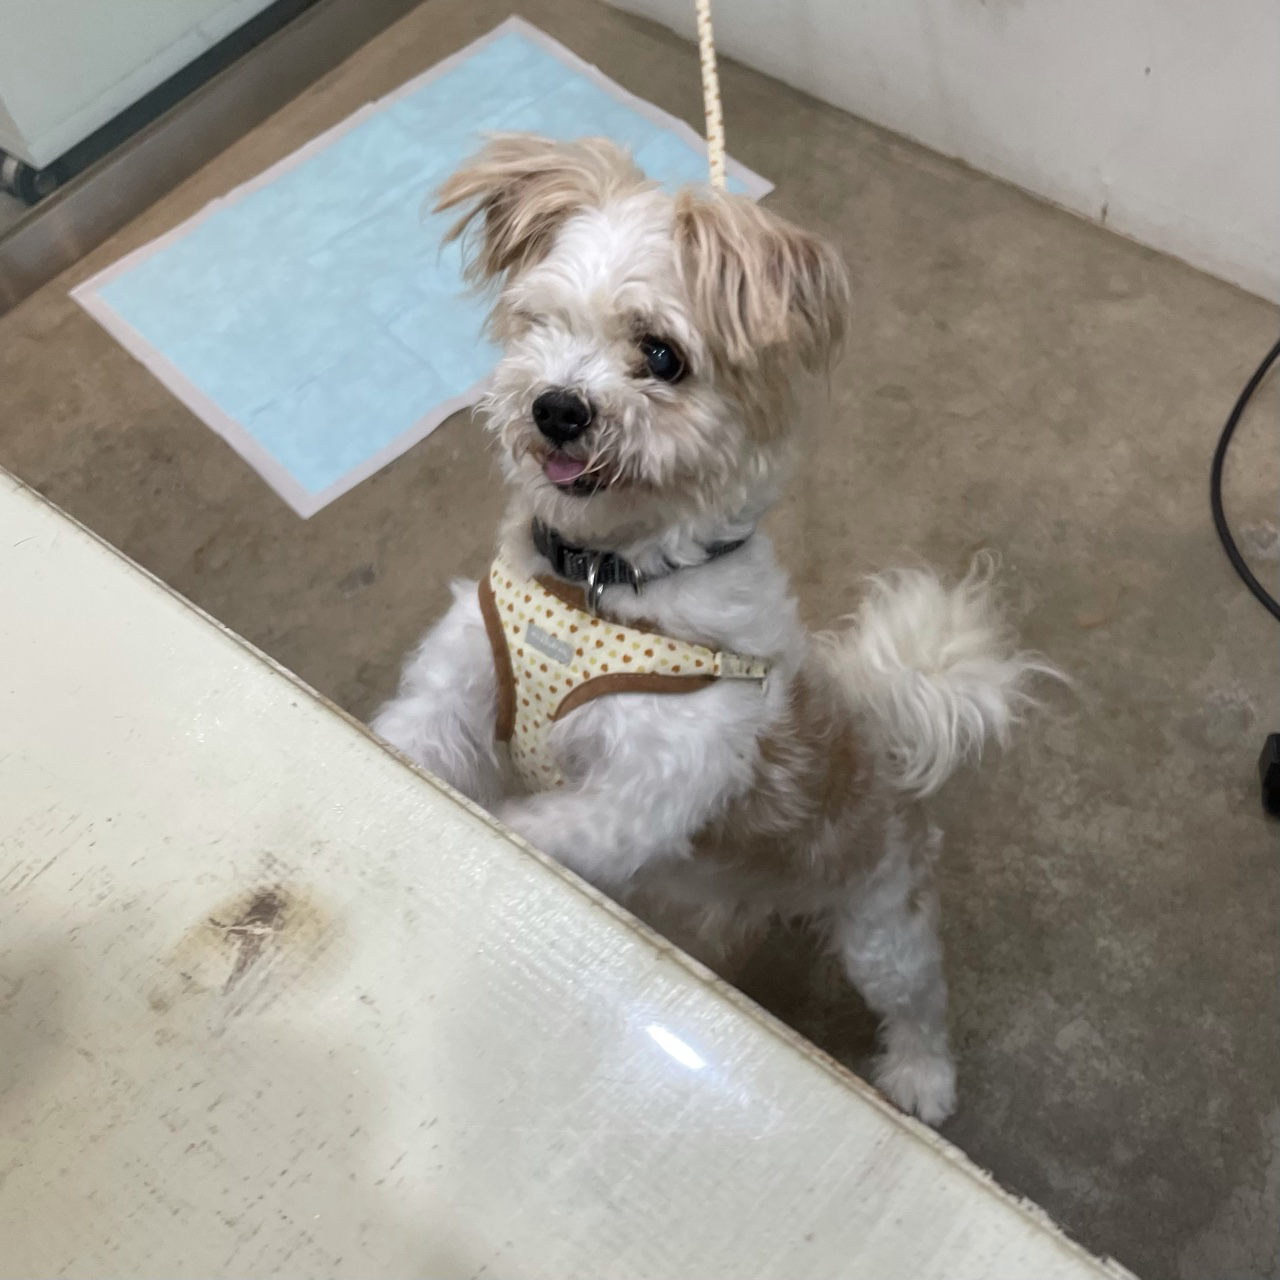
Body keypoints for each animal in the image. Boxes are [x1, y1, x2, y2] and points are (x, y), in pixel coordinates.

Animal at [373, 134, 1056, 1125]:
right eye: (542, 324)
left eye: (661, 357)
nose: (557, 407)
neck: (605, 581)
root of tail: (885, 733)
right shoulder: (456, 688)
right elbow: (409, 742)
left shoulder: (648, 786)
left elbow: (544, 828)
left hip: (879, 923)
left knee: (920, 1000)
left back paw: (923, 1081)